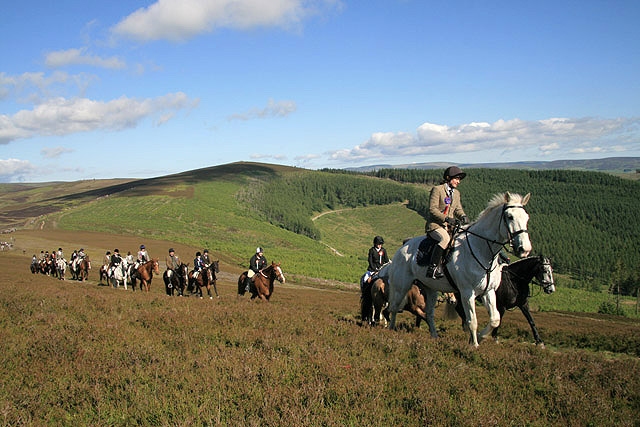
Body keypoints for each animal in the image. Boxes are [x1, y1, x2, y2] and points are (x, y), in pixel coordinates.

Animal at [388, 194, 532, 348]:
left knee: (429, 313)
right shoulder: (467, 292)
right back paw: (391, 331)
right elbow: (472, 321)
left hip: (430, 289)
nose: (525, 249)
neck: (481, 249)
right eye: (510, 217)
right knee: (394, 307)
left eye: (526, 217)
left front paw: (480, 337)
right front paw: (474, 346)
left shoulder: (488, 291)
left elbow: (495, 319)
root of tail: (402, 249)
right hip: (402, 286)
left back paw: (435, 337)